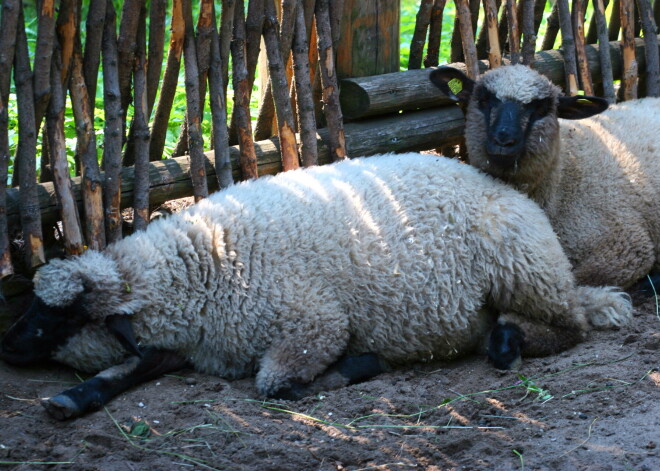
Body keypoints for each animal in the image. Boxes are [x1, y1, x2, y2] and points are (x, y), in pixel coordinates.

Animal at [0, 152, 632, 420]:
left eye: (54, 317)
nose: (7, 344)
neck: (196, 269)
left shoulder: (314, 324)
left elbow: (278, 386)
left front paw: (363, 365)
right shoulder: (187, 344)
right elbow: (128, 368)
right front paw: (72, 400)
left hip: (522, 264)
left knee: (569, 327)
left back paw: (508, 344)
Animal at [428, 64, 660, 290]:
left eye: (541, 109)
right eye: (483, 100)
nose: (503, 140)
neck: (563, 181)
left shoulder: (626, 245)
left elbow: (573, 283)